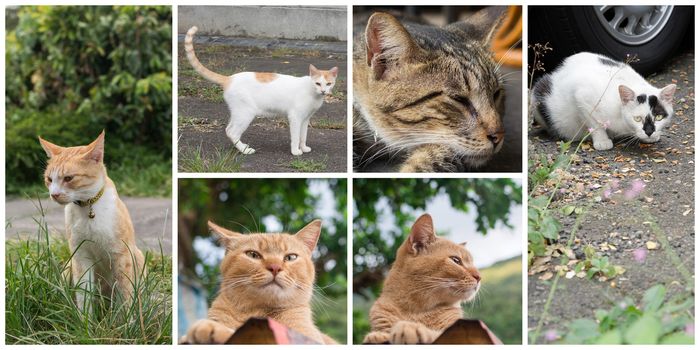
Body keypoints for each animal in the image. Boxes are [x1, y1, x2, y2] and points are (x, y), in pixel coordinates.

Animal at [38, 131, 145, 312]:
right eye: (49, 179)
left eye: (68, 178)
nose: (54, 194)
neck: (88, 206)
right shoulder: (81, 256)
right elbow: (83, 295)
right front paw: (85, 319)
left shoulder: (122, 256)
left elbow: (125, 297)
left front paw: (125, 319)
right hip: (68, 267)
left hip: (137, 257)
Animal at [183, 28, 340, 157]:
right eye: (317, 83)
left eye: (328, 84)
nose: (323, 91)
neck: (313, 94)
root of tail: (229, 78)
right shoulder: (295, 117)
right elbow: (295, 137)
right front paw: (296, 151)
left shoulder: (306, 119)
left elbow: (303, 136)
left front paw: (304, 147)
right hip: (246, 113)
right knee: (232, 132)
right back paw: (245, 151)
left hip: (238, 112)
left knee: (228, 129)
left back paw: (242, 147)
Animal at [360, 213, 482, 344]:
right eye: (456, 260)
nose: (479, 277)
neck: (416, 311)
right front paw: (378, 335)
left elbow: (436, 333)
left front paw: (410, 328)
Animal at [532, 52, 676, 150]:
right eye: (637, 119)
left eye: (658, 117)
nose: (649, 132)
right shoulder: (582, 95)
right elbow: (594, 123)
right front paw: (602, 141)